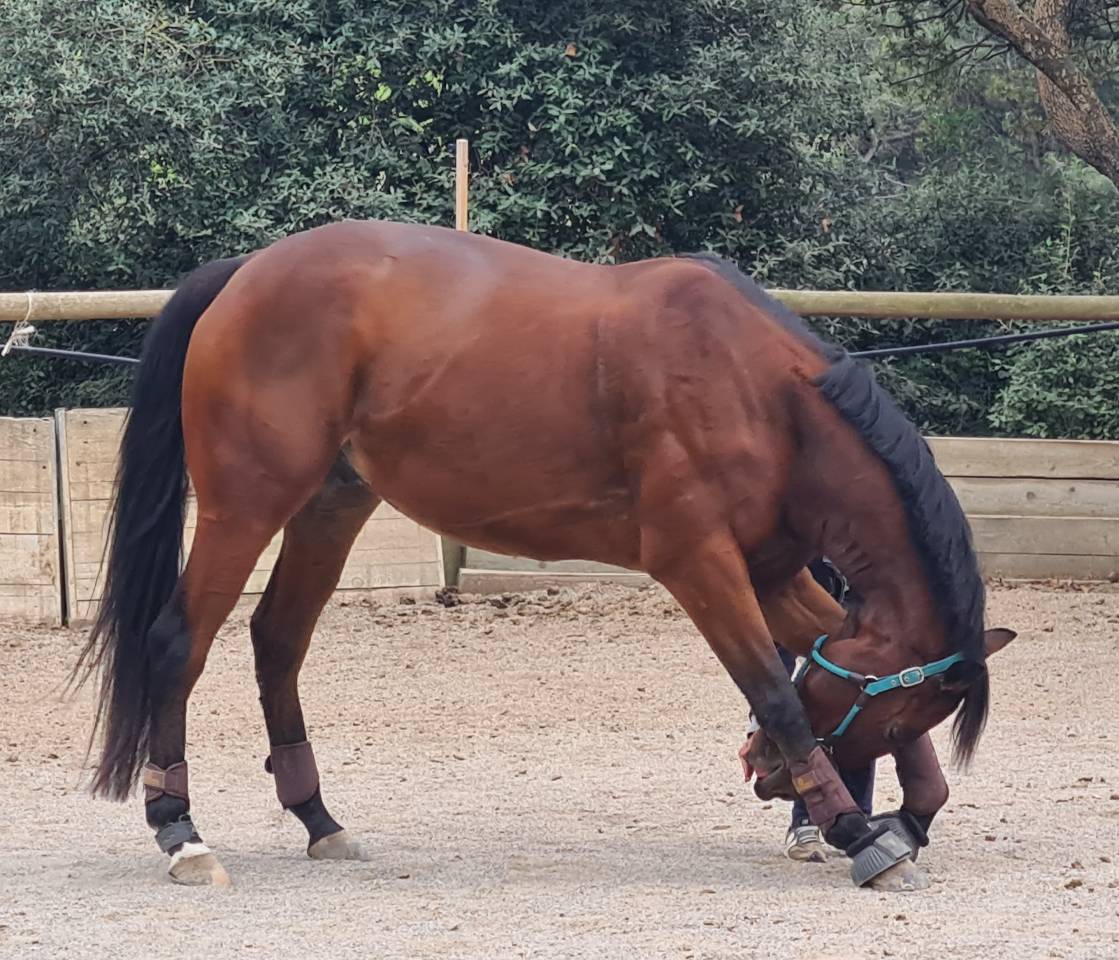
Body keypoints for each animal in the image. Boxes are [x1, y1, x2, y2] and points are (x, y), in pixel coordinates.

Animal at [75, 219, 1016, 891]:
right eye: (889, 721)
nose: (765, 777)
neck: (761, 396)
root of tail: (248, 271)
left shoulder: (772, 574)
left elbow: (802, 669)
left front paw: (908, 814)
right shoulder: (701, 566)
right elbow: (774, 691)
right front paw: (862, 833)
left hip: (328, 508)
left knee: (277, 640)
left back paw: (317, 818)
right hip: (246, 505)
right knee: (179, 643)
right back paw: (180, 830)